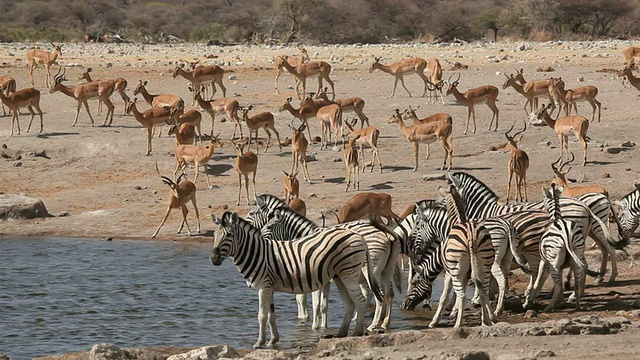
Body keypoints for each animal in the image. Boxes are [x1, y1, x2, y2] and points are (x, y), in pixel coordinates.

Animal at [210, 212, 382, 348]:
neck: (257, 253)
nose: (213, 259)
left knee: (360, 300)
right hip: (339, 276)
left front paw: (259, 342)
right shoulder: (270, 287)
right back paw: (341, 333)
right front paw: (273, 340)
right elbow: (271, 315)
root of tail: (358, 235)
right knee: (350, 303)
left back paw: (357, 332)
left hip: (349, 274)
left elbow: (261, 316)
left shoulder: (263, 287)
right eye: (214, 236)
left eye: (229, 236)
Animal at [428, 184, 498, 328]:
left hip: (456, 269)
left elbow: (444, 297)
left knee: (463, 296)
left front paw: (434, 321)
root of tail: (471, 233)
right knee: (483, 291)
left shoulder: (448, 273)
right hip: (485, 265)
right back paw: (486, 321)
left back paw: (458, 325)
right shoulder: (466, 275)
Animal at [448, 170, 616, 286]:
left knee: (606, 249)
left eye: (451, 192)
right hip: (590, 230)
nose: (460, 218)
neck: (486, 209)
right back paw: (599, 277)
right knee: (603, 249)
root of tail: (583, 205)